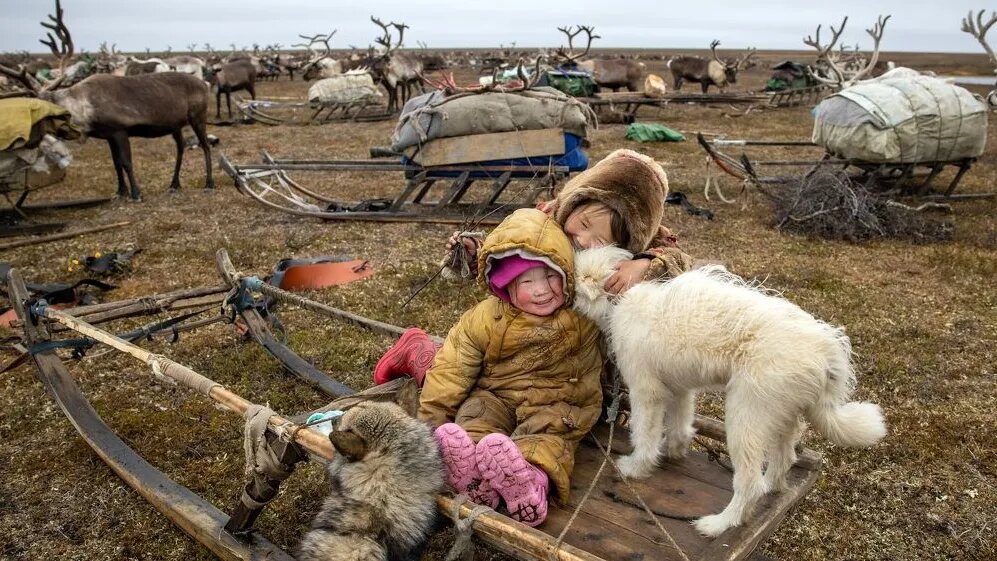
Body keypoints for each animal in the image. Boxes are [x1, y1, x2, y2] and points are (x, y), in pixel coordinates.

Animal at [572, 247, 884, 536]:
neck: (621, 299)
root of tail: (826, 349)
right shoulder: (679, 387)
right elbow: (680, 422)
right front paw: (676, 449)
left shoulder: (646, 392)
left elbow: (644, 434)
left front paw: (636, 468)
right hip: (781, 413)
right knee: (783, 460)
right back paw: (770, 487)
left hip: (746, 415)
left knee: (749, 482)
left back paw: (718, 524)